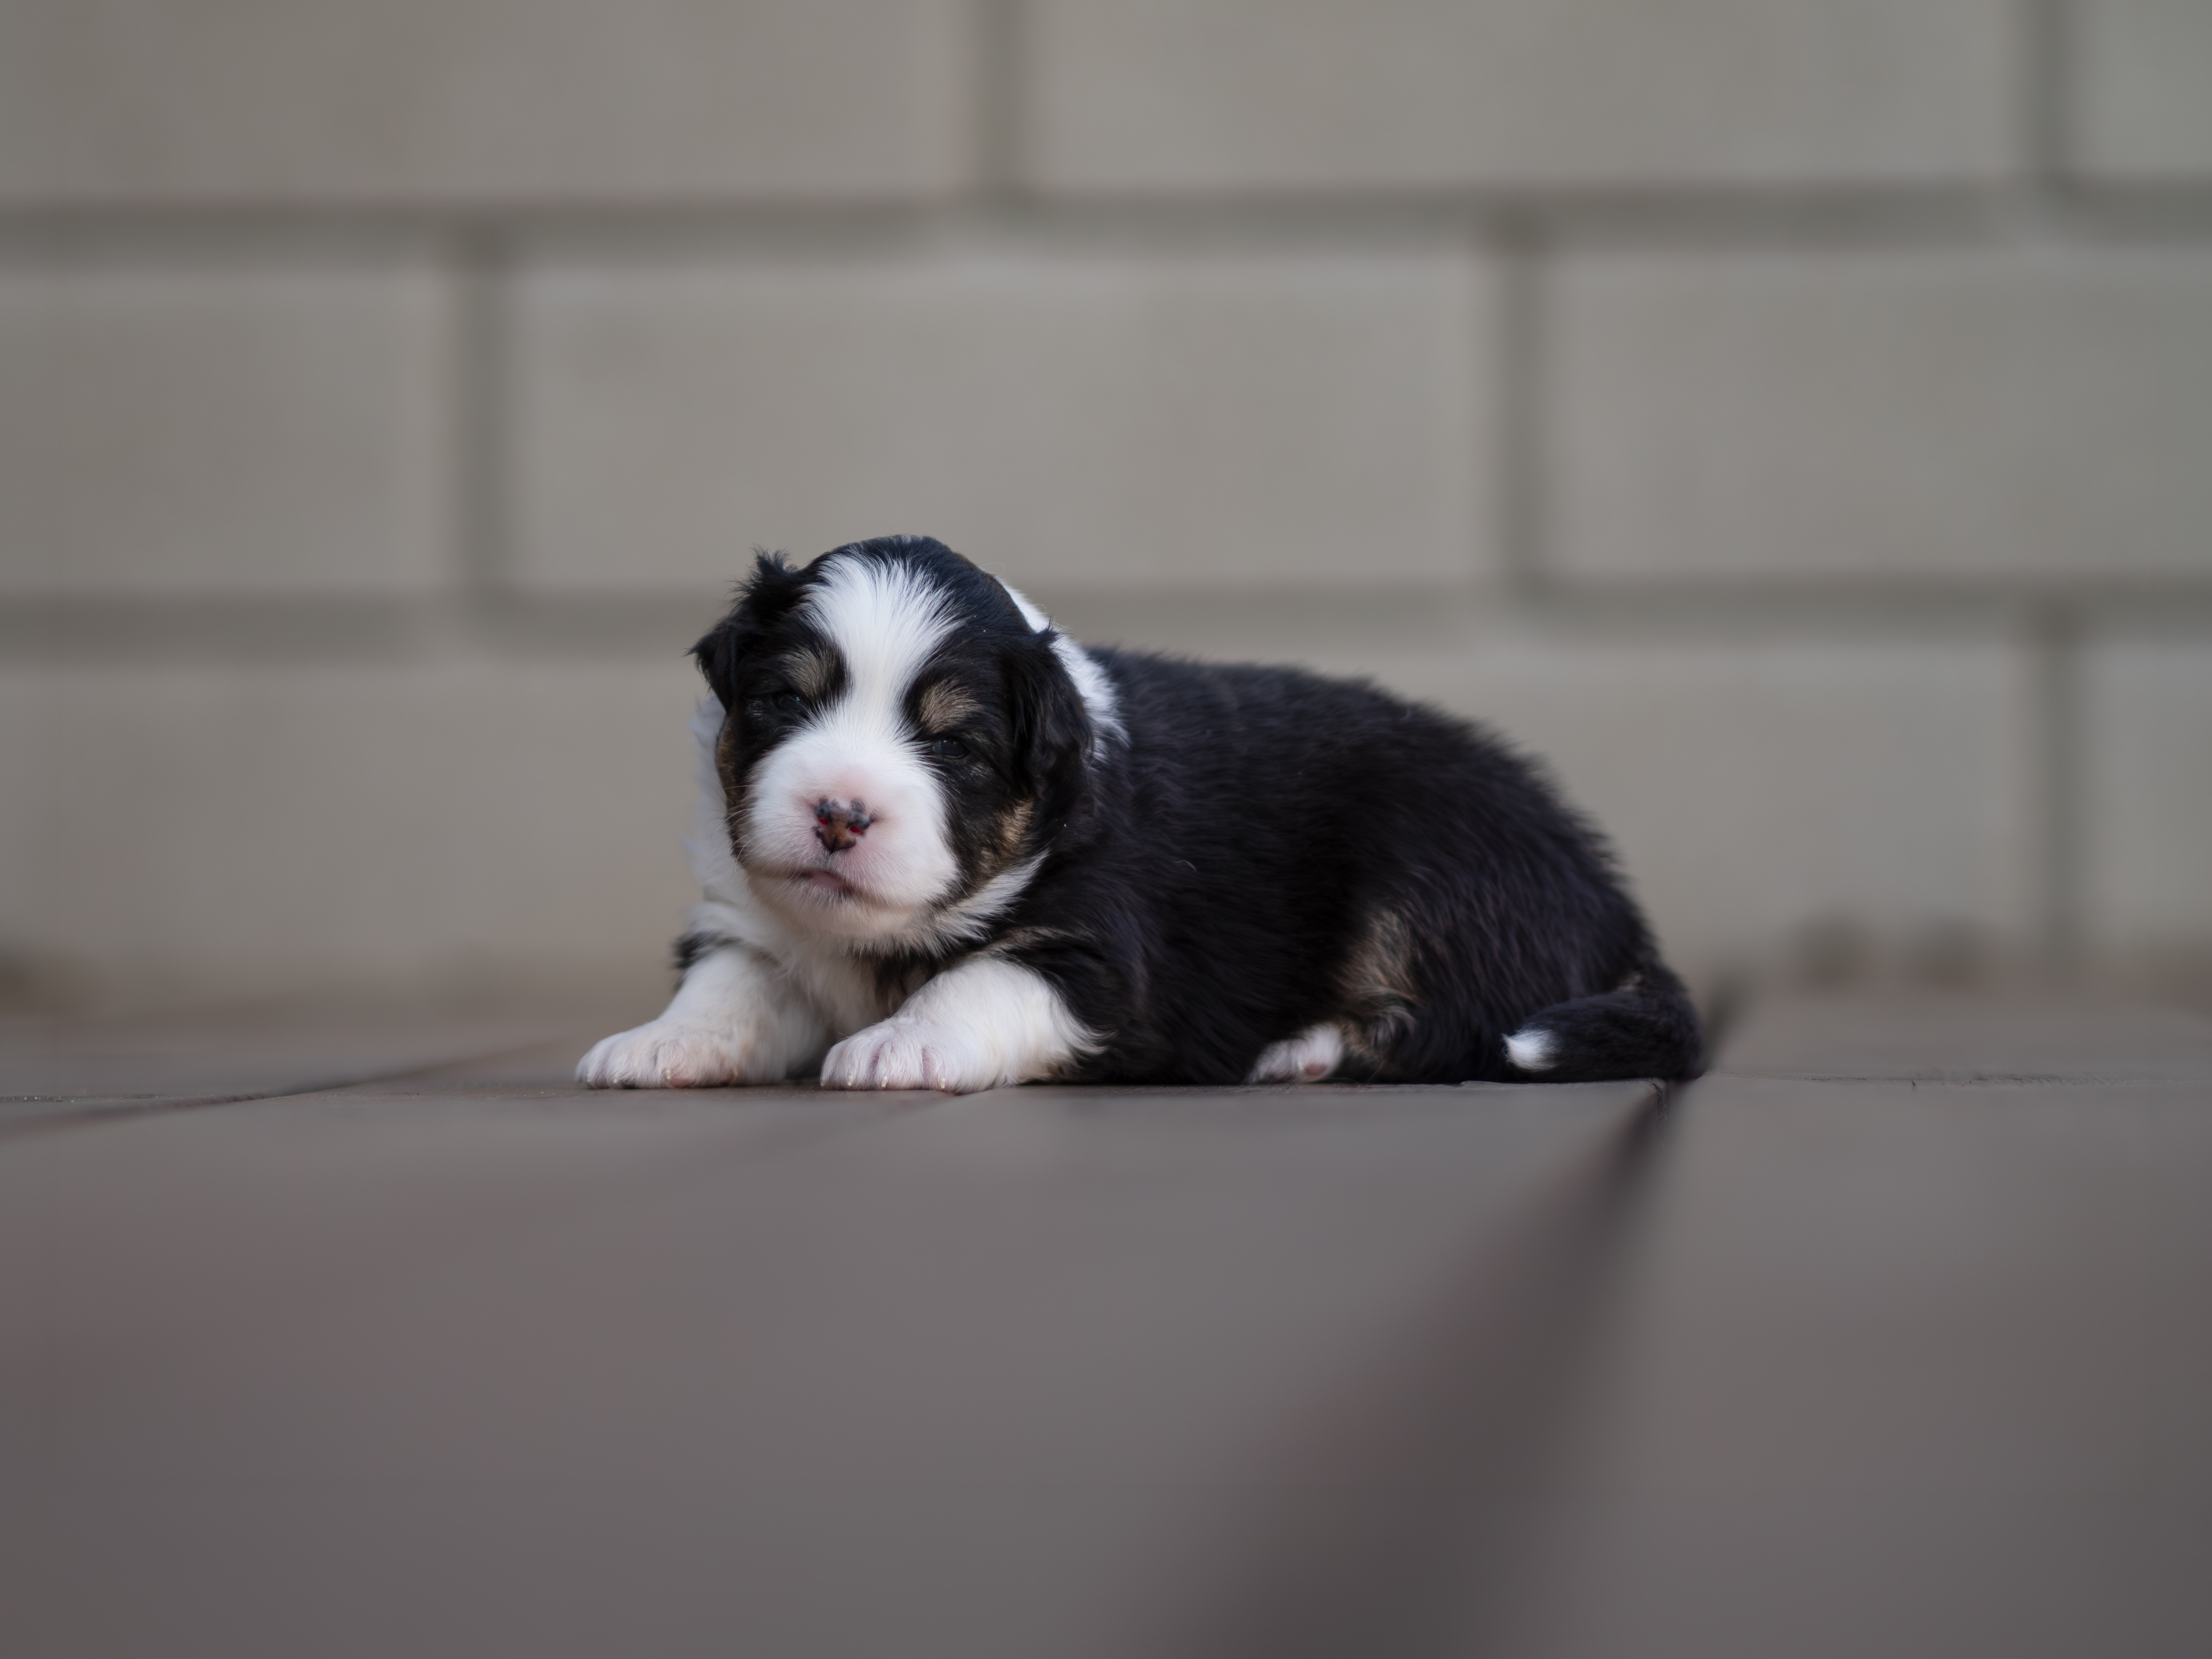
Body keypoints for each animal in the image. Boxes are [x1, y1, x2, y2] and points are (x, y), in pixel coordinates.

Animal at [578, 536, 1702, 1092]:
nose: (840, 815)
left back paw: (1302, 1049)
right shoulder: (751, 928)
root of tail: (1616, 909)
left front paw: (899, 1046)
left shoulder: (1099, 956)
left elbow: (973, 983)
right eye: (784, 700)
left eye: (956, 747)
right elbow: (728, 991)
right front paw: (656, 1045)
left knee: (1468, 1028)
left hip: (1429, 866)